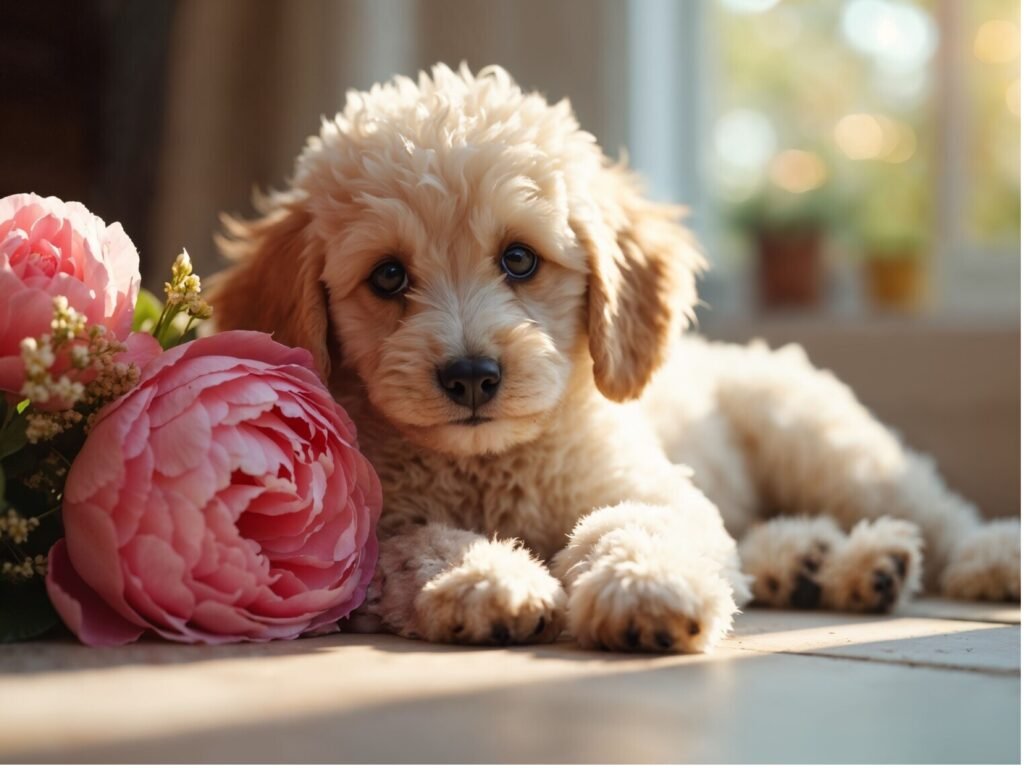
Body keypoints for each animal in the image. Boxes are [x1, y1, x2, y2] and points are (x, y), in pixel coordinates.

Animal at [211, 64, 1019, 655]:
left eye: (519, 259)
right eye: (387, 277)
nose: (472, 376)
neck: (490, 466)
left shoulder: (651, 487)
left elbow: (633, 524)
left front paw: (644, 588)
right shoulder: (361, 538)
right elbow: (417, 546)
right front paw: (486, 581)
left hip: (824, 443)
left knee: (933, 508)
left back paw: (976, 559)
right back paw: (820, 562)